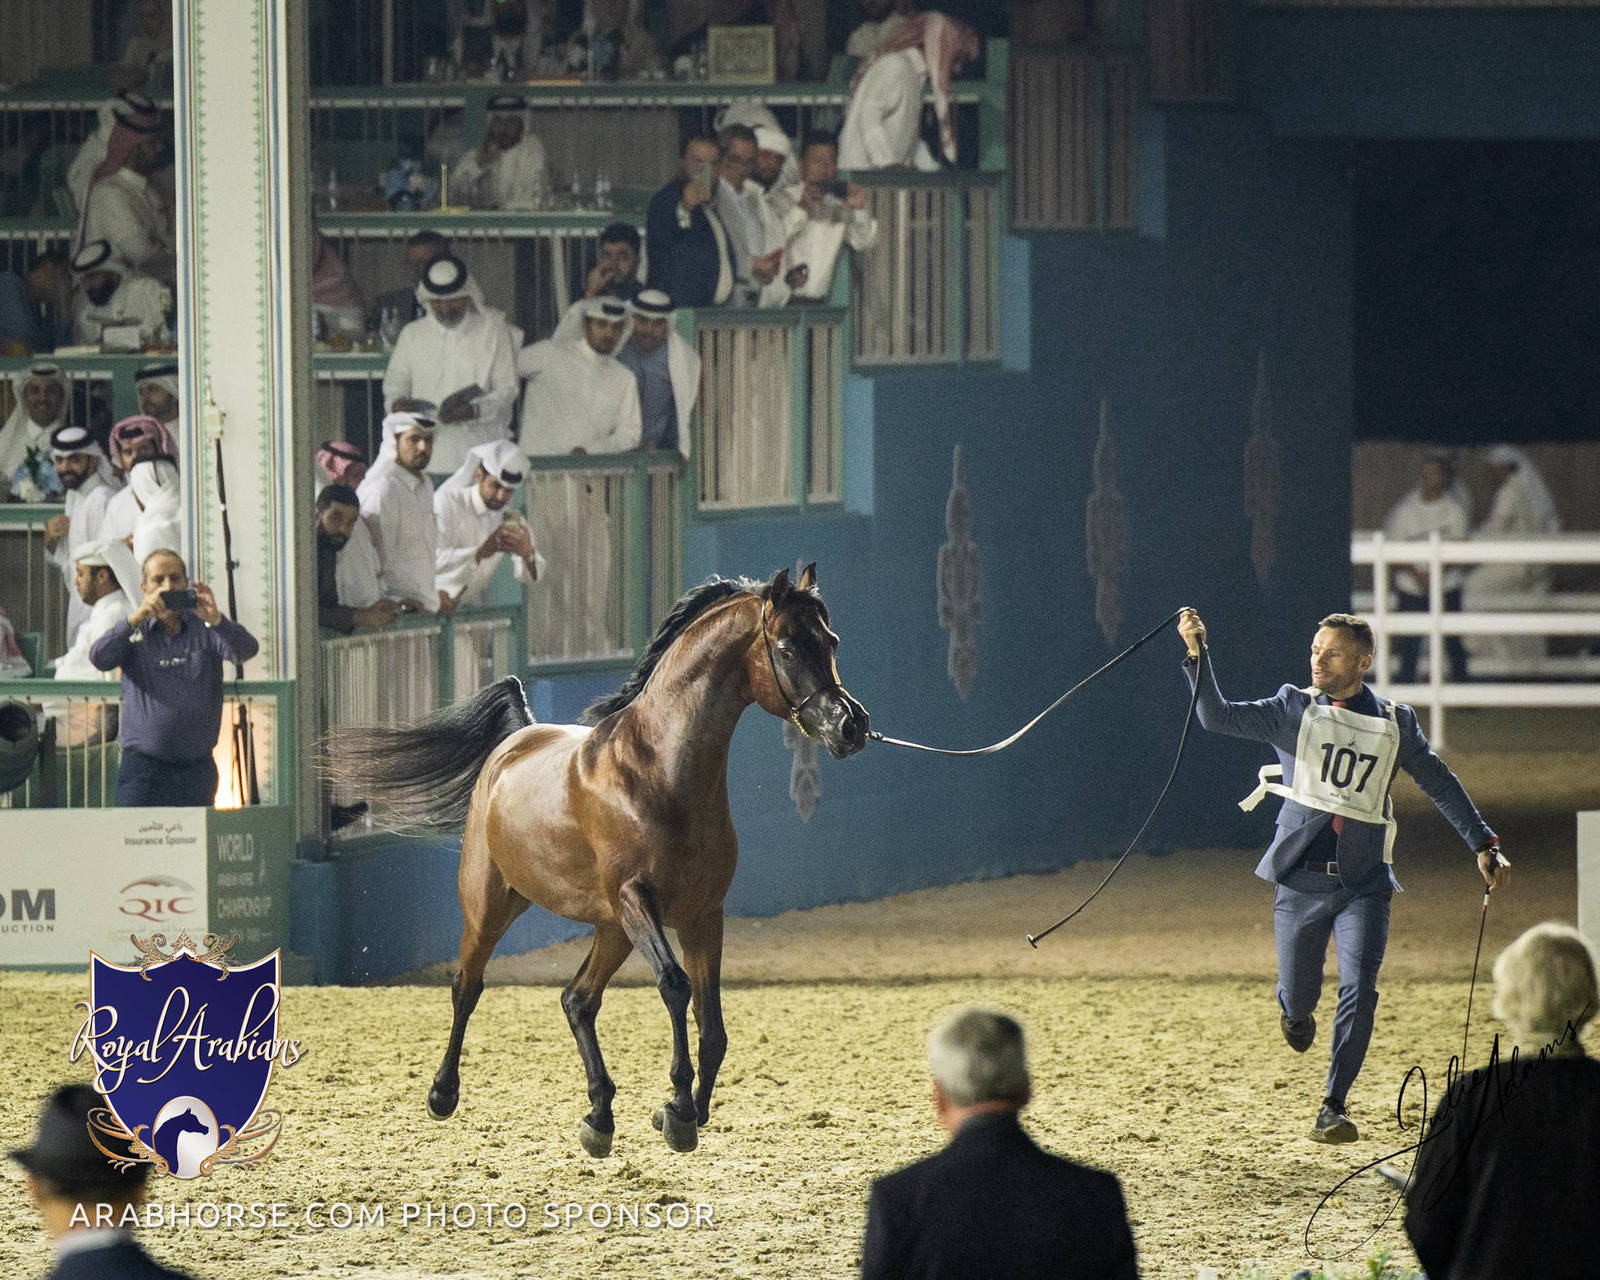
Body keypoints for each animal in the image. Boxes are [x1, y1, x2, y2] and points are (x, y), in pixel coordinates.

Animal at [327, 565, 869, 1156]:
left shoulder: (704, 915)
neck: (658, 772)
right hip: (496, 907)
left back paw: (599, 1117)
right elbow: (675, 987)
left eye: (832, 641)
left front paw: (685, 1112)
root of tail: (516, 738)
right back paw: (443, 1093)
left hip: (612, 929)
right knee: (467, 986)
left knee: (577, 1000)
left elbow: (712, 1024)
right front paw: (679, 1112)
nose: (851, 726)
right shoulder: (637, 900)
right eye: (788, 647)